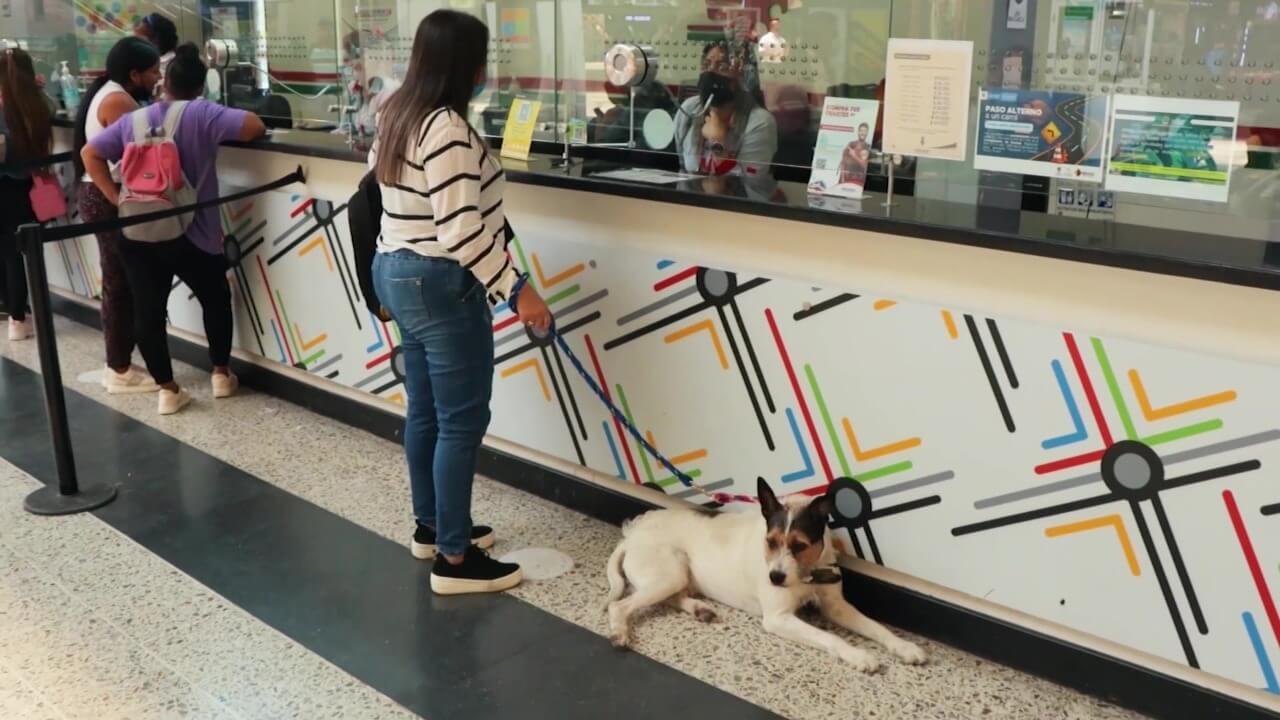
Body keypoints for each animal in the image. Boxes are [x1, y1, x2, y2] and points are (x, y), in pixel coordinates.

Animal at [604, 474, 926, 671]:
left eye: (800, 545)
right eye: (770, 541)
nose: (775, 578)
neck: (806, 573)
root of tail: (631, 535)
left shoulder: (836, 606)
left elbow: (876, 627)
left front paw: (904, 646)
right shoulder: (778, 618)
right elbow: (830, 637)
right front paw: (859, 654)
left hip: (675, 576)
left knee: (669, 597)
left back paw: (699, 609)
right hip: (668, 574)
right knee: (620, 605)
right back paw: (620, 632)